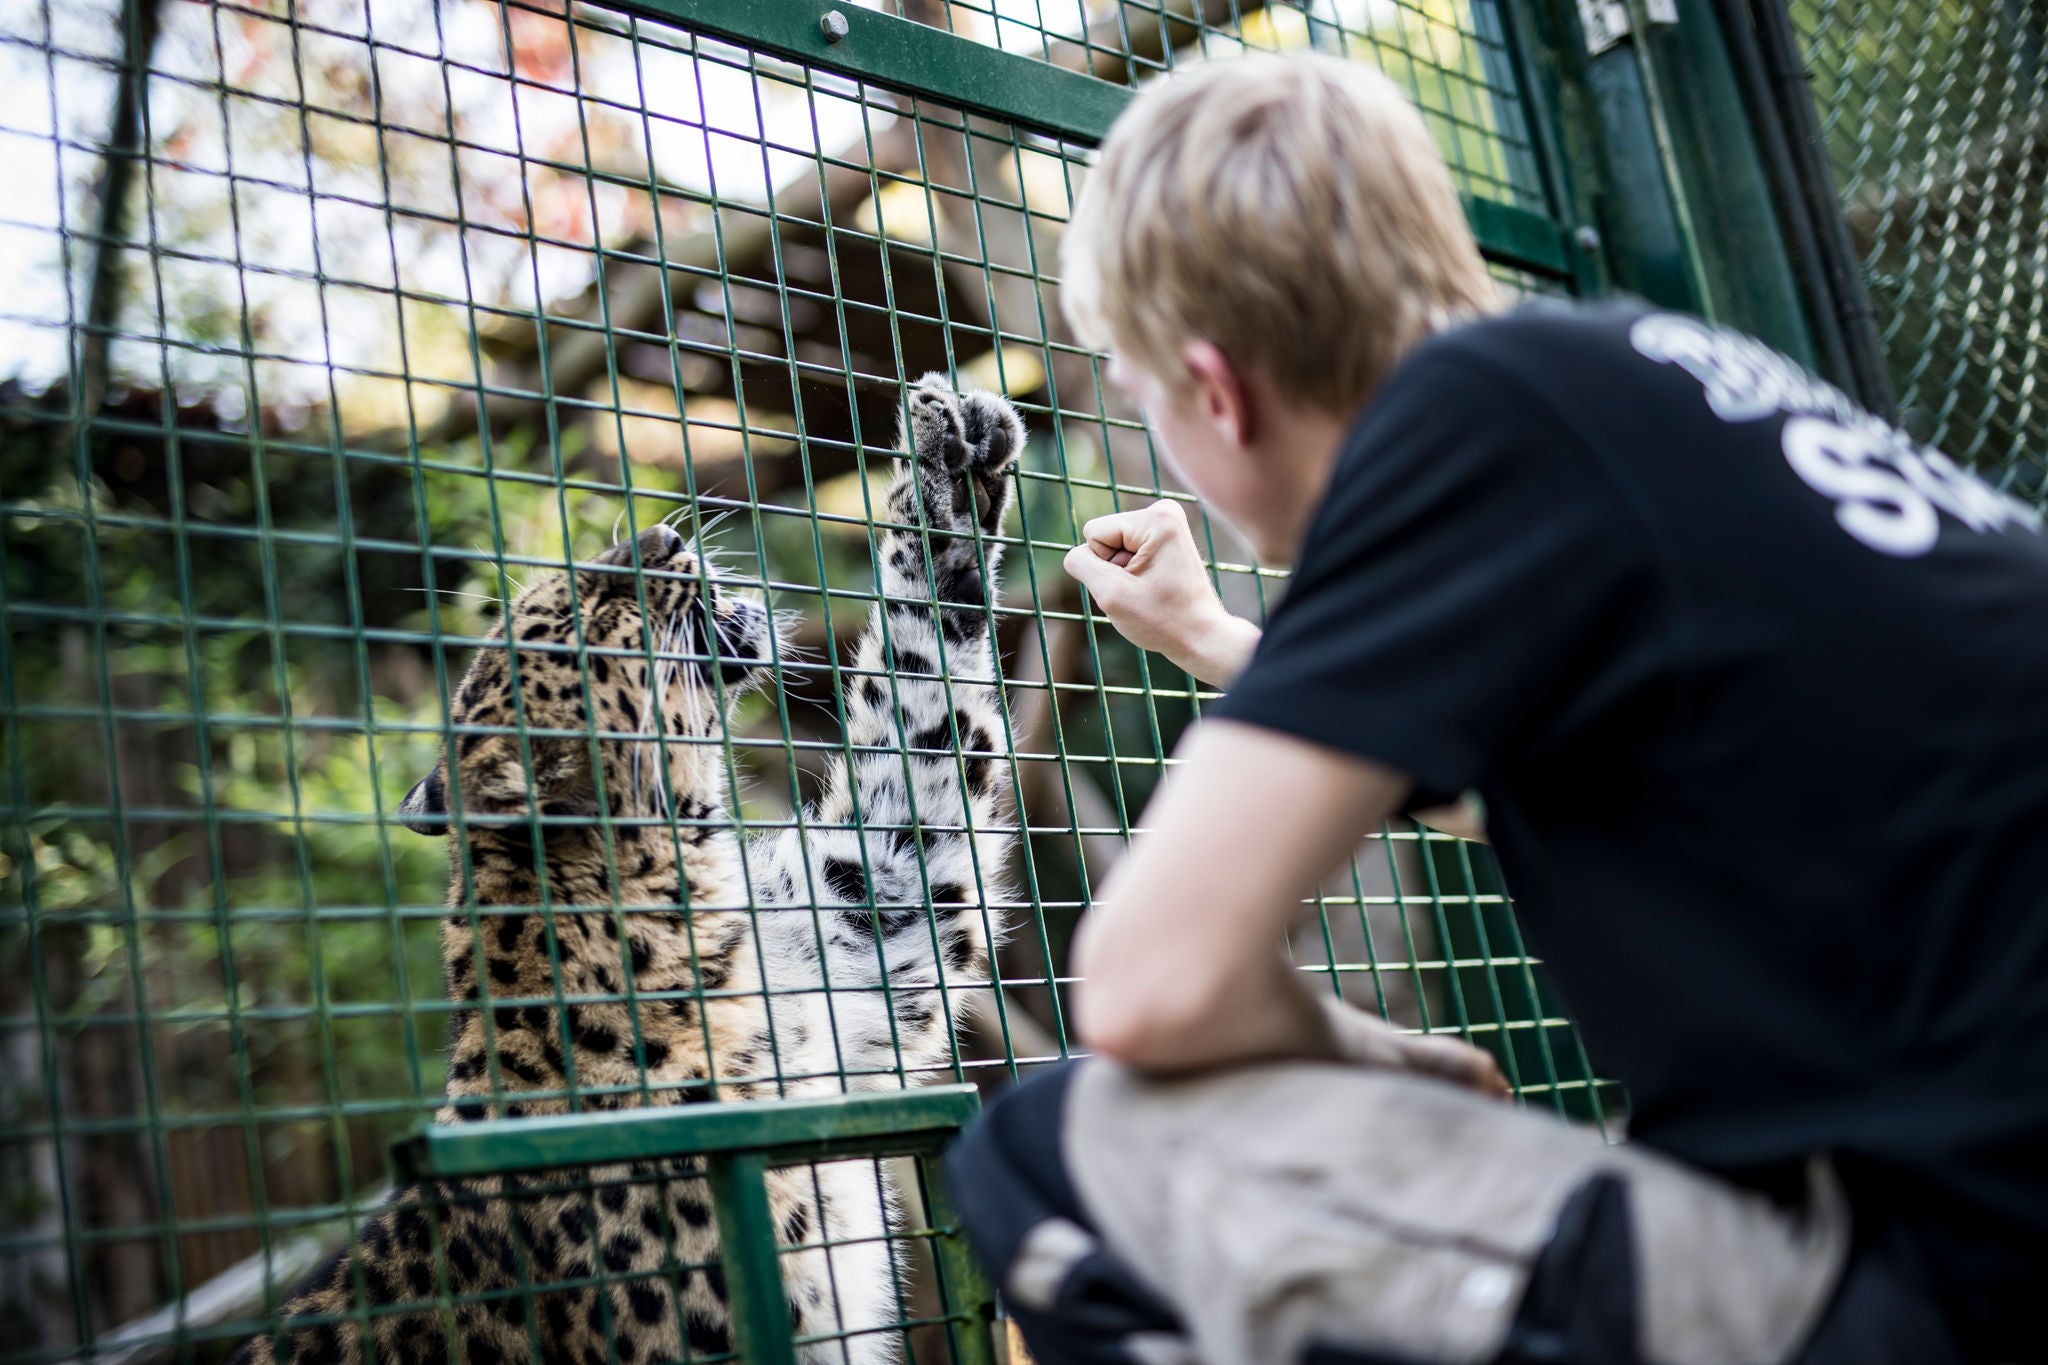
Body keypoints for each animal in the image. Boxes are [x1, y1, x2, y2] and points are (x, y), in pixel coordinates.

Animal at [235, 378, 1024, 1365]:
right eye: (583, 609)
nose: (659, 538)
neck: (695, 906)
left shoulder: (868, 917)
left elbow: (922, 734)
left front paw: (949, 476)